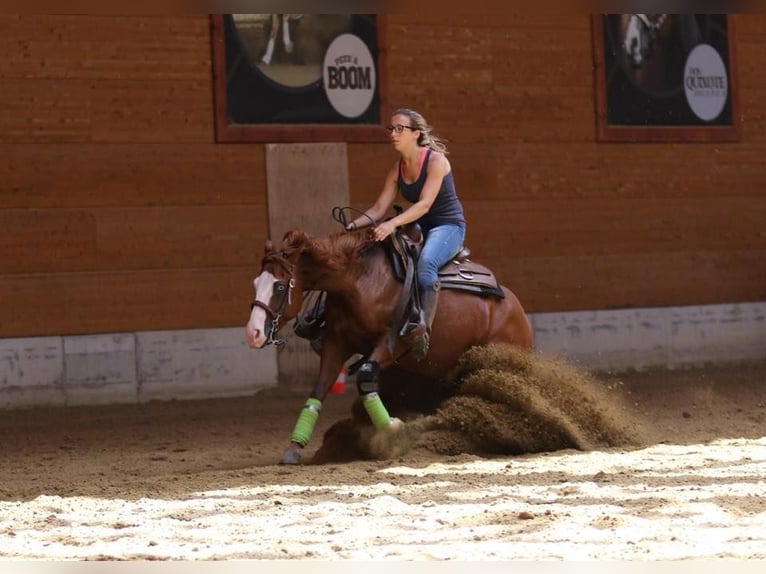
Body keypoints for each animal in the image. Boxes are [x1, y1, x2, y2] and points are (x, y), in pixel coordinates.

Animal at [245, 226, 533, 464]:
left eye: (279, 286)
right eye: (256, 283)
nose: (253, 332)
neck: (358, 279)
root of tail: (515, 308)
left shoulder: (391, 343)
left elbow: (365, 376)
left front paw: (394, 429)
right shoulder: (336, 343)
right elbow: (319, 389)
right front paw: (294, 447)